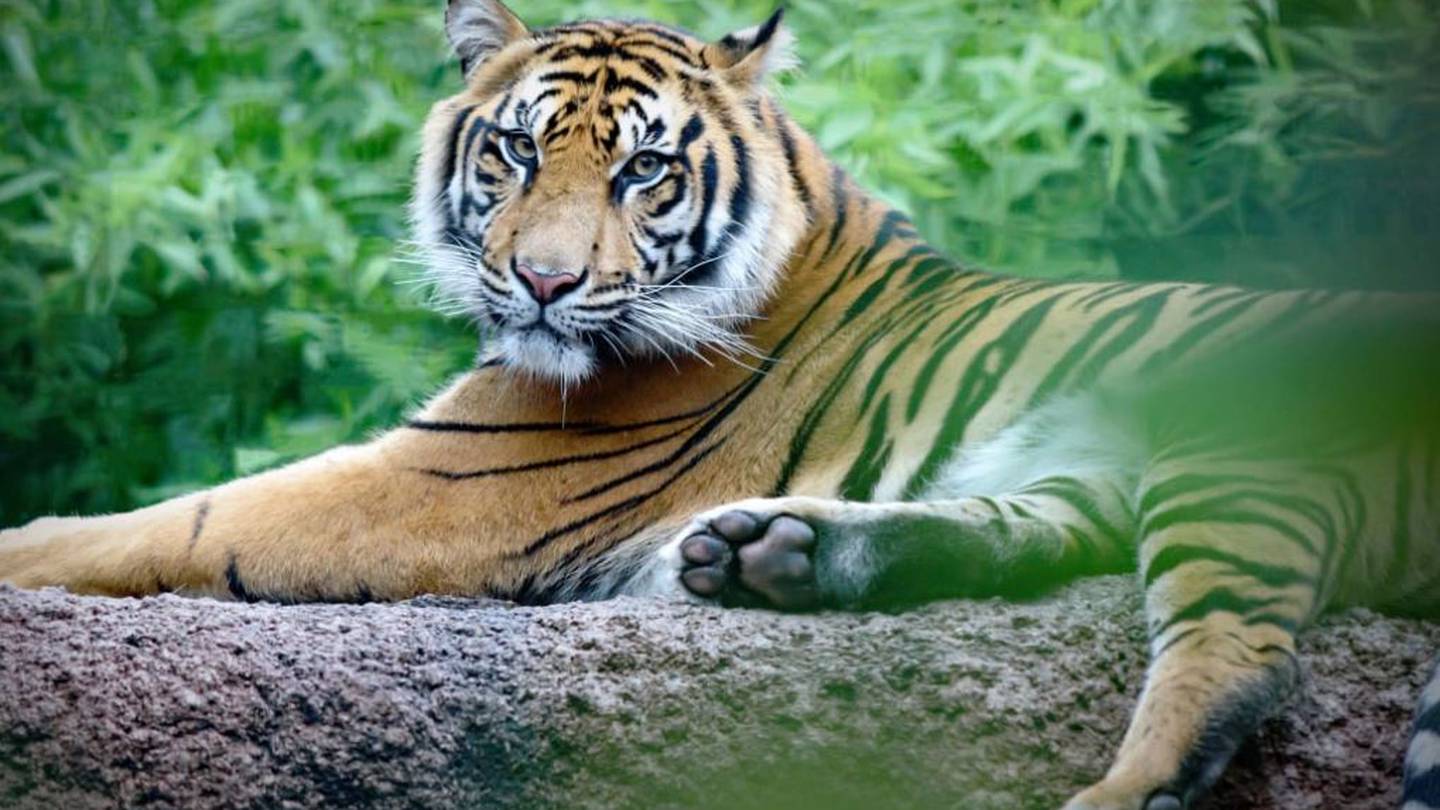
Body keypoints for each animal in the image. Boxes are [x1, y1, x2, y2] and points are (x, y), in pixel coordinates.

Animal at [2, 1, 1438, 807]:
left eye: (642, 172)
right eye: (513, 148)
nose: (543, 281)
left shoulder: (443, 476)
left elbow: (175, 521)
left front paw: (29, 547)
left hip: (1231, 459)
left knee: (1244, 654)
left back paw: (1112, 788)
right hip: (1098, 470)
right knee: (1025, 535)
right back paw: (771, 552)